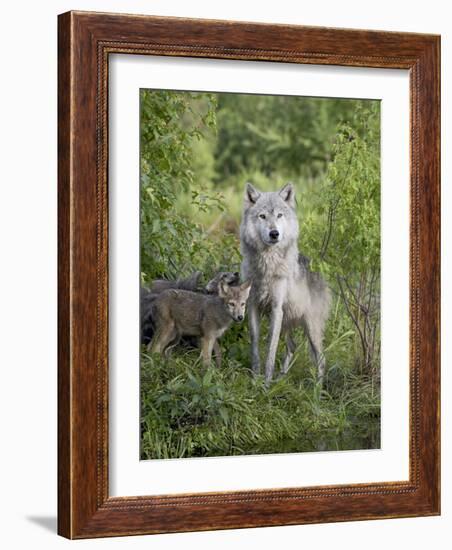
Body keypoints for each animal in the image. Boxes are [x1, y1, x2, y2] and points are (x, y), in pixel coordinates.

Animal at [240, 183, 332, 386]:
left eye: (279, 215)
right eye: (263, 216)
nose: (274, 233)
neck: (267, 265)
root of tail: (320, 274)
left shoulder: (276, 308)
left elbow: (271, 349)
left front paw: (265, 384)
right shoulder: (252, 305)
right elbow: (255, 343)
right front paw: (255, 379)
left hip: (310, 327)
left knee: (321, 358)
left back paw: (317, 390)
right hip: (287, 322)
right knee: (292, 346)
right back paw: (281, 379)